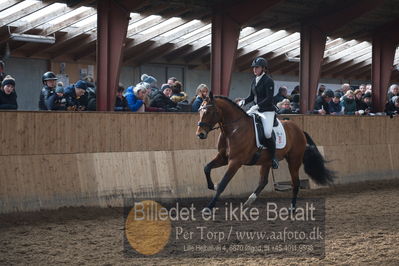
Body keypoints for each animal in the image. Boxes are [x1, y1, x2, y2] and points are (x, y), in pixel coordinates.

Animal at [195, 92, 336, 211]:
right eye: (200, 111)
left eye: (210, 111)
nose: (200, 134)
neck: (233, 130)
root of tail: (299, 130)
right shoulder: (223, 158)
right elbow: (206, 168)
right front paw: (212, 186)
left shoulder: (235, 161)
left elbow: (223, 183)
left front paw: (209, 207)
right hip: (266, 161)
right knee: (263, 181)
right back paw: (249, 201)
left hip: (294, 160)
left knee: (295, 183)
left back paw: (292, 208)